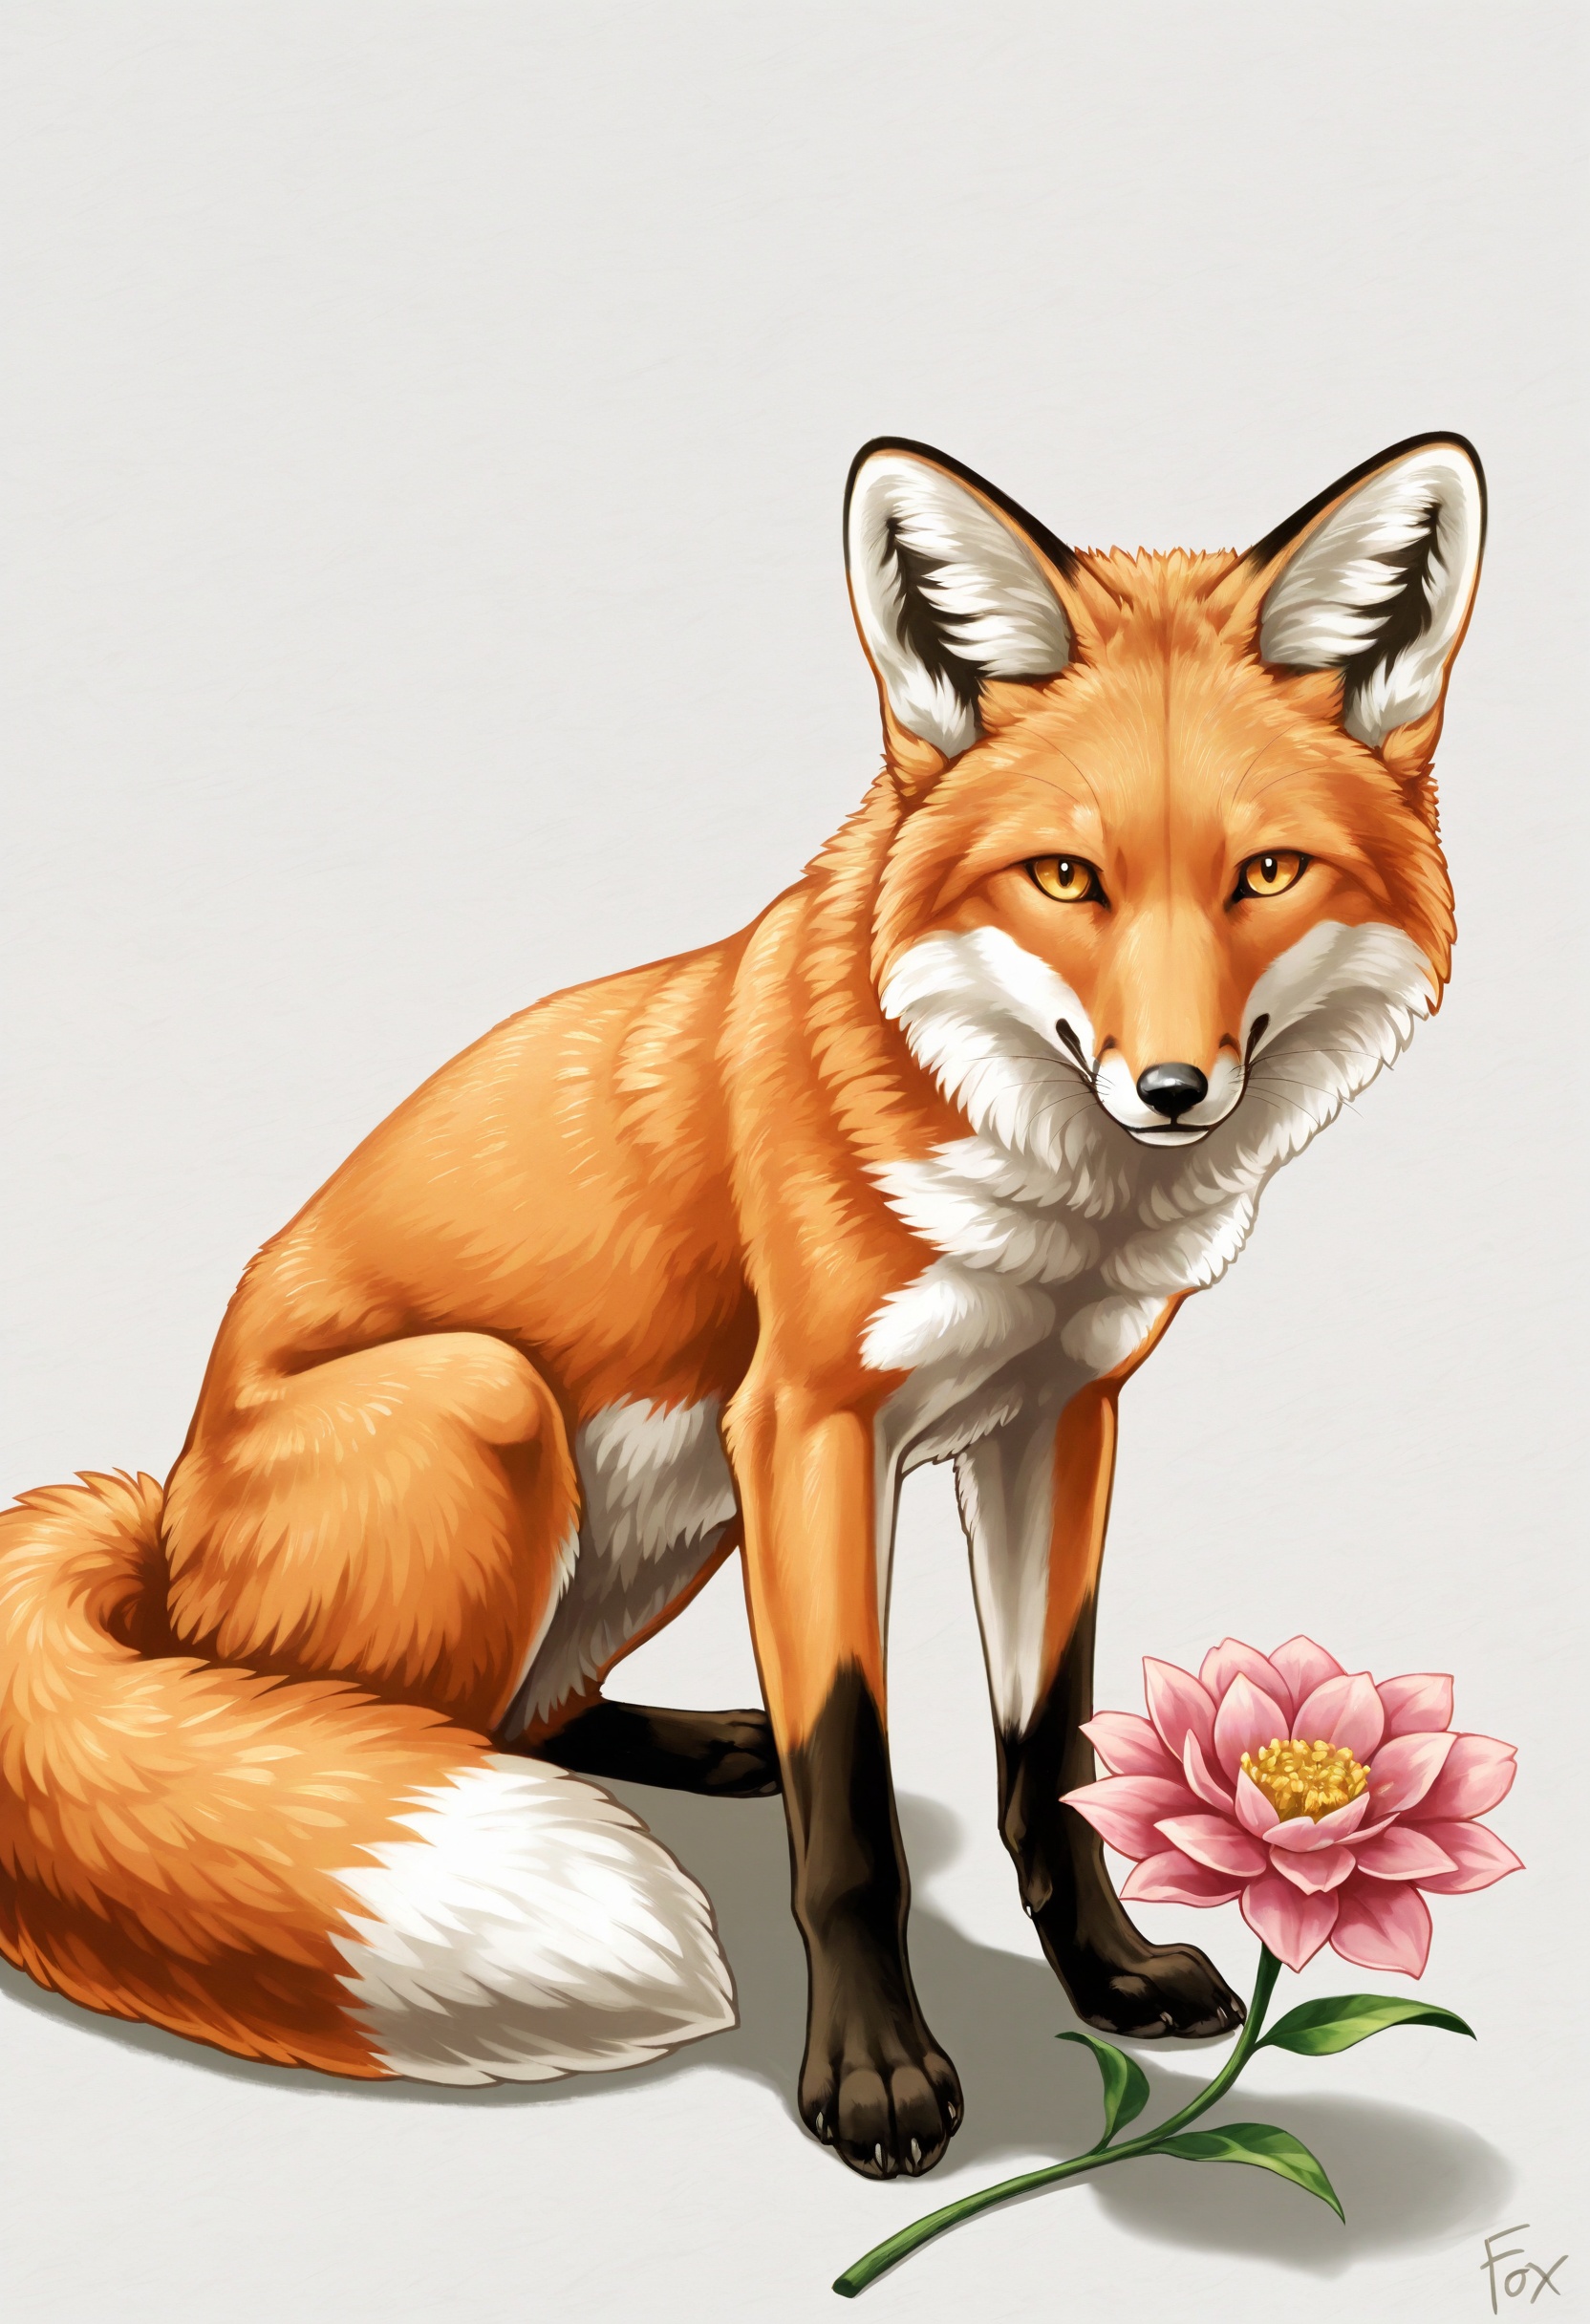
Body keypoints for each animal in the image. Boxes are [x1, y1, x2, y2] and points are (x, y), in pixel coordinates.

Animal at [0, 432, 1483, 2180]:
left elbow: (1046, 1747)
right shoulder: (808, 1428)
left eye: (1264, 874)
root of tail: (159, 1531)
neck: (1043, 1203)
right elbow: (849, 1803)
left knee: (527, 1717)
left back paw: (698, 1742)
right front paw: (875, 2076)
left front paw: (1104, 1970)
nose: (1173, 1090)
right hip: (497, 1407)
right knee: (348, 1744)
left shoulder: (1058, 1414)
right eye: (1066, 878)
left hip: (667, 1513)